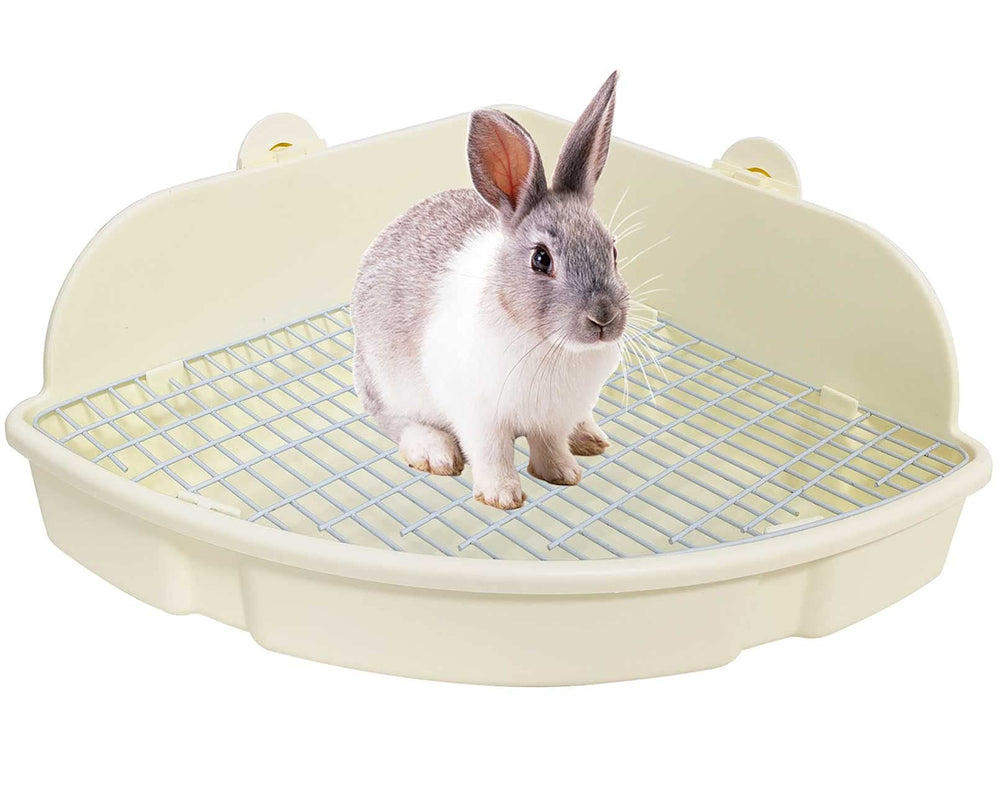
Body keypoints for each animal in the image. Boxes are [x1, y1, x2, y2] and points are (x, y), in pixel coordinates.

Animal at [351, 72, 628, 510]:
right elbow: (492, 454)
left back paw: (589, 437)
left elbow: (549, 446)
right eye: (541, 259)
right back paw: (435, 453)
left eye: (613, 251)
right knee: (398, 423)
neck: (550, 346)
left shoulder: (552, 419)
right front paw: (502, 497)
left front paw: (564, 474)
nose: (604, 318)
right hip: (387, 385)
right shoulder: (480, 417)